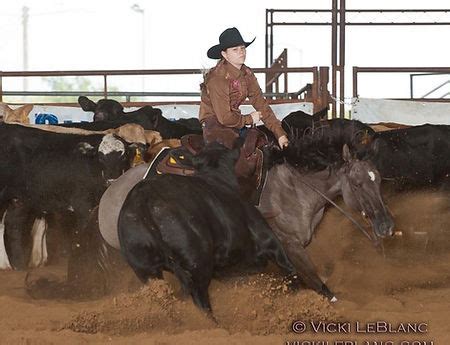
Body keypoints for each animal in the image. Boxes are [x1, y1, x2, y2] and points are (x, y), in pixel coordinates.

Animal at [0, 123, 142, 272]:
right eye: (100, 157)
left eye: (123, 156)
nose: (112, 179)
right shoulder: (83, 207)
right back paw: (5, 265)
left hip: (19, 200)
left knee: (14, 225)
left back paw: (18, 265)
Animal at [118, 142, 302, 312]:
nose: (275, 149)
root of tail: (144, 201)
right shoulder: (268, 240)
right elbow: (290, 270)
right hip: (197, 265)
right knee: (201, 303)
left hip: (146, 270)